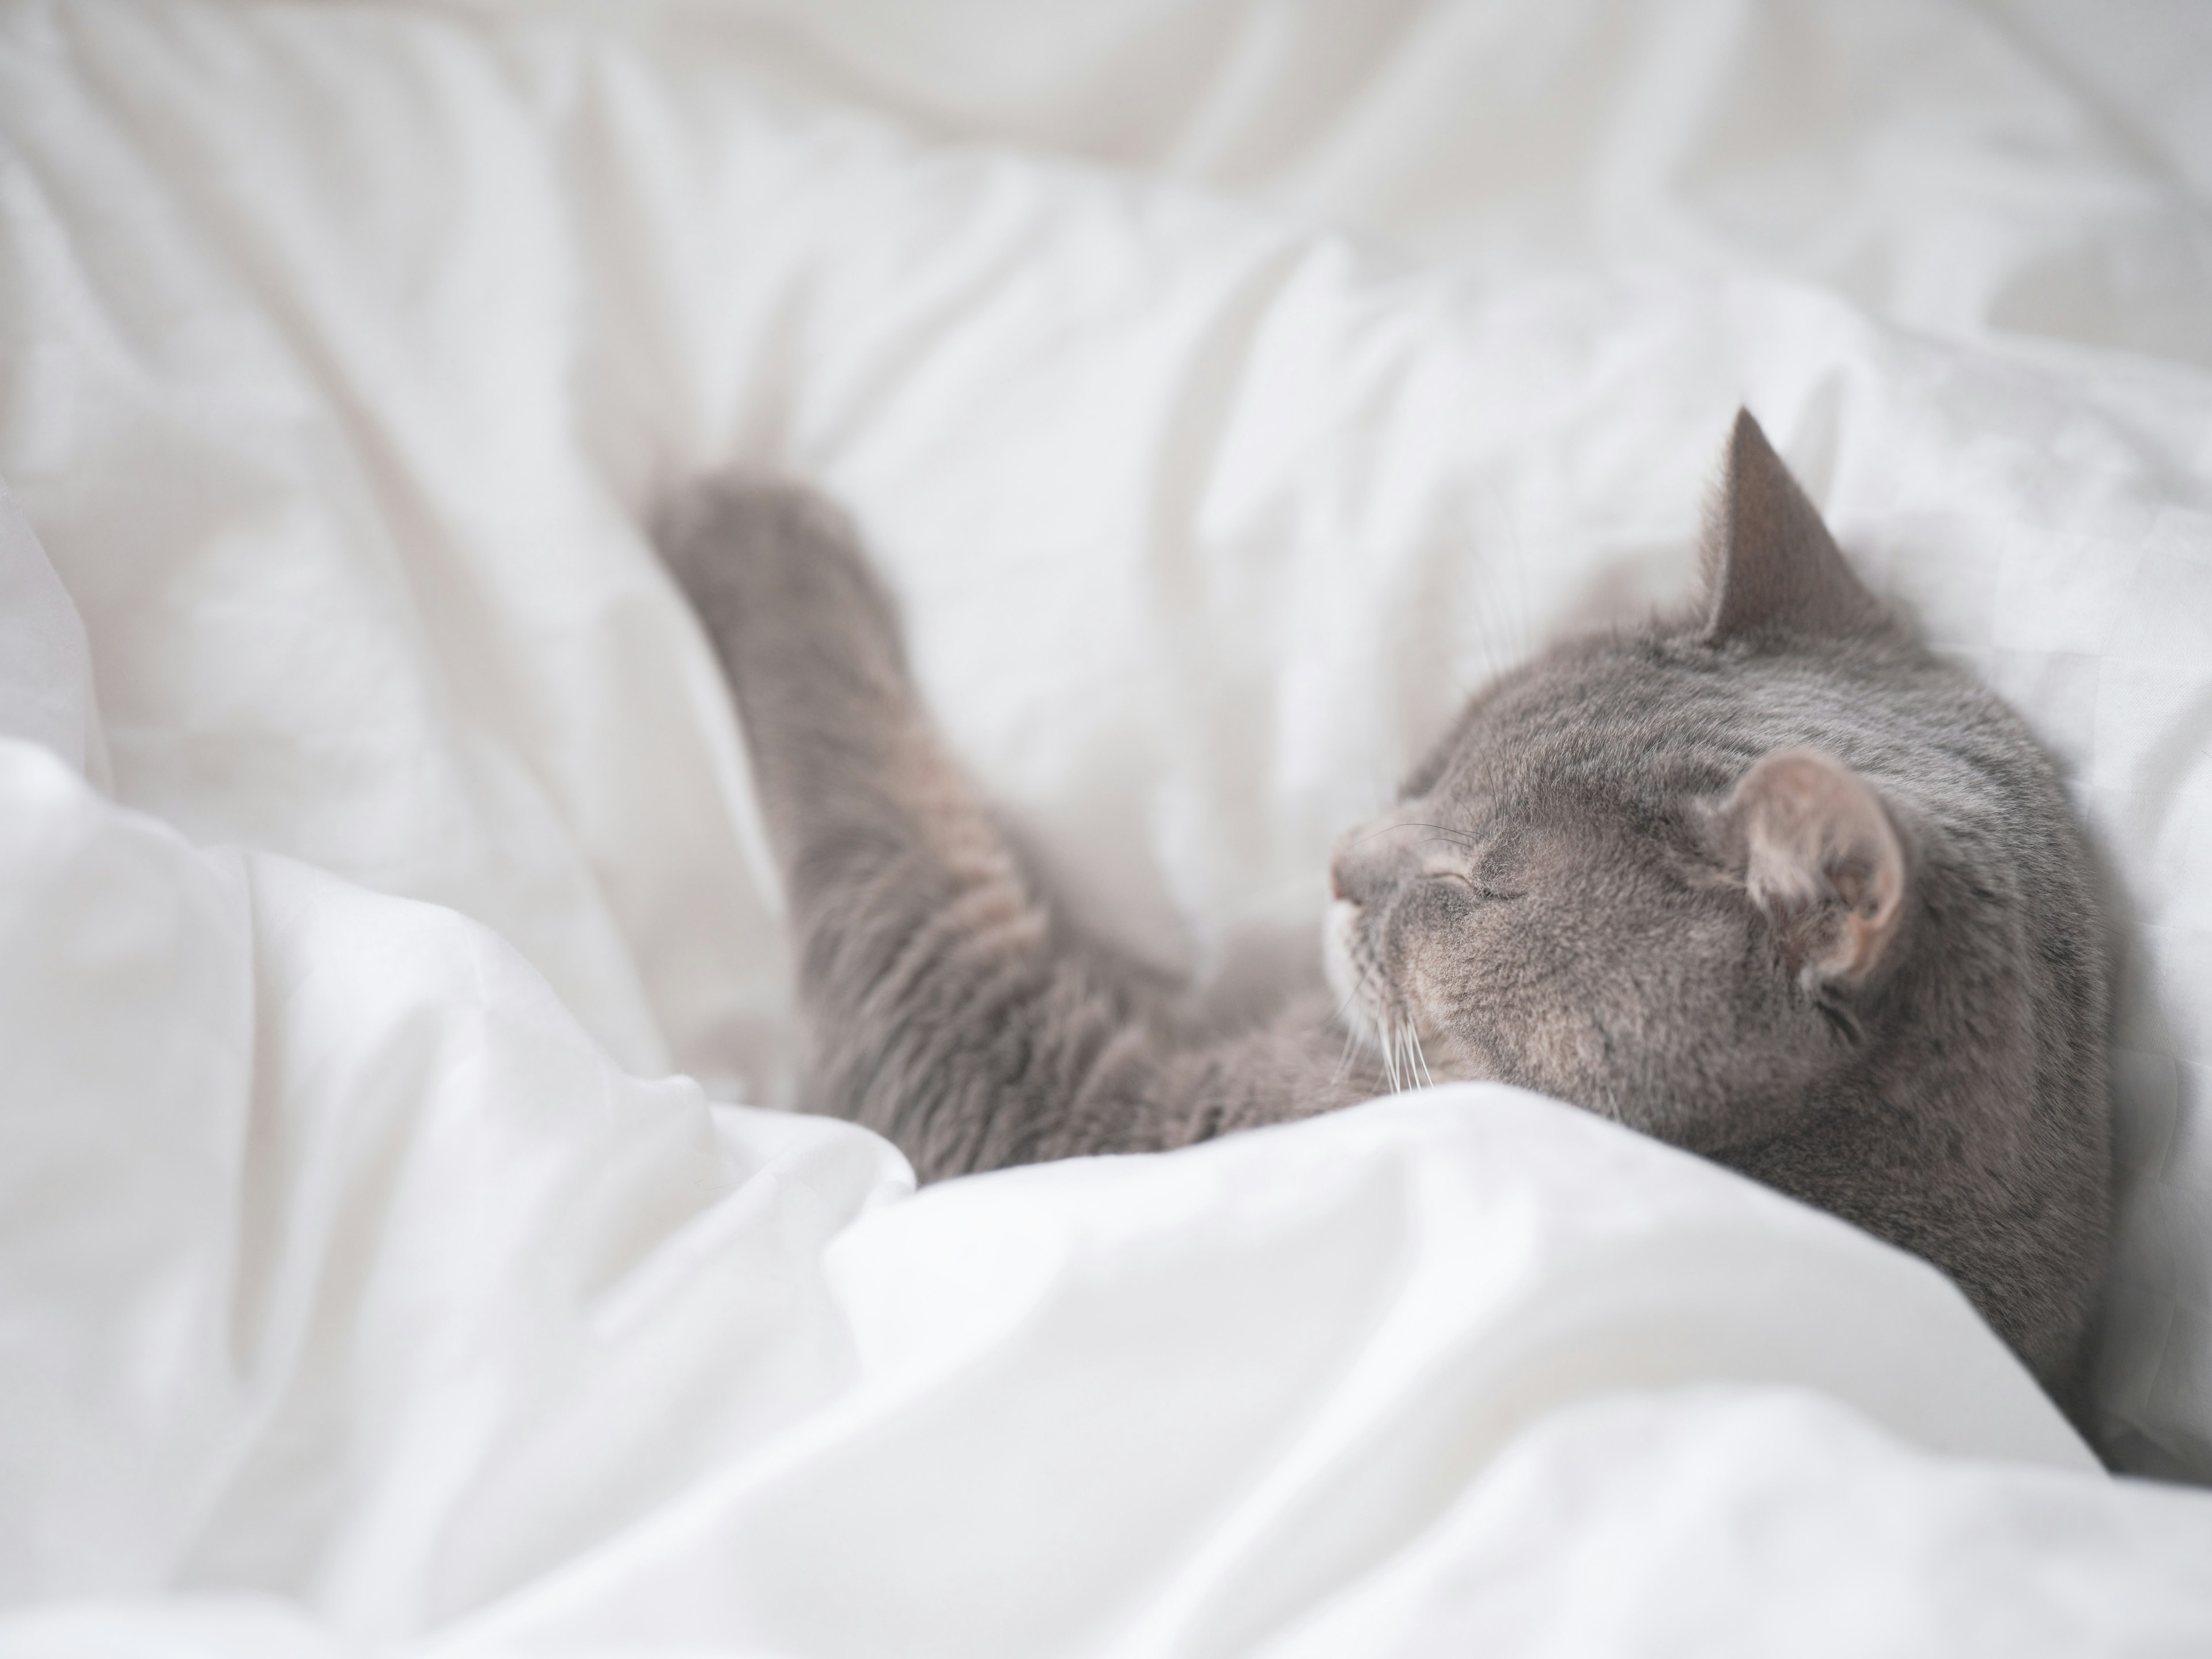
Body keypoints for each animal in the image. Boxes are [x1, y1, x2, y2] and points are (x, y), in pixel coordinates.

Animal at [654, 414, 2105, 1407]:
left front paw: (735, 509)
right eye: (1439, 761)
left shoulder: (1046, 1091)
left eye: (1473, 887)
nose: (1343, 858)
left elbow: (894, 834)